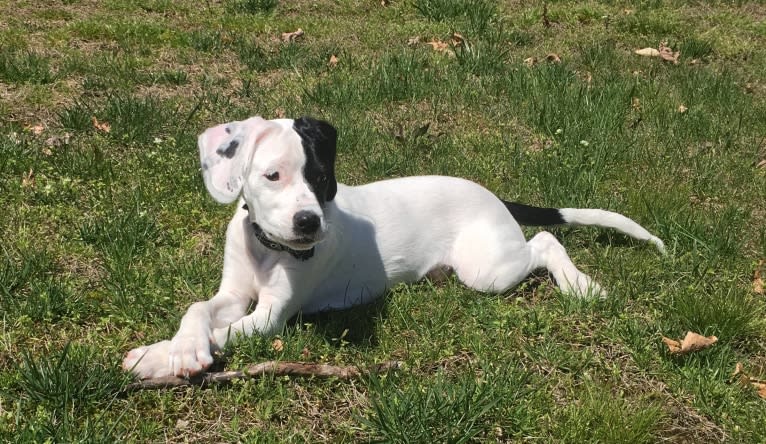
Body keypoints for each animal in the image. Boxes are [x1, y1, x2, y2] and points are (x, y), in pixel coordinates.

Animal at [121, 115, 664, 378]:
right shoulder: (233, 293)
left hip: (487, 270)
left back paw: (581, 286)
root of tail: (493, 196)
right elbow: (198, 310)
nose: (309, 223)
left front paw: (157, 357)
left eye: (322, 178)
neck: (268, 249)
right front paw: (179, 348)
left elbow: (226, 335)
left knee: (547, 241)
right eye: (273, 176)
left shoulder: (273, 315)